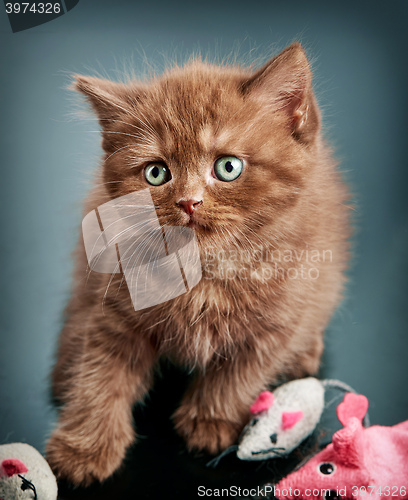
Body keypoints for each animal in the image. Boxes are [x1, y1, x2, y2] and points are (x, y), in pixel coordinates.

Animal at [45, 42, 350, 484]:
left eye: (228, 167)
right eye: (156, 173)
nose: (189, 202)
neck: (204, 274)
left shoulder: (280, 319)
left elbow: (239, 373)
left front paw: (210, 421)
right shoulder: (115, 308)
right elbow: (101, 373)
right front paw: (83, 446)